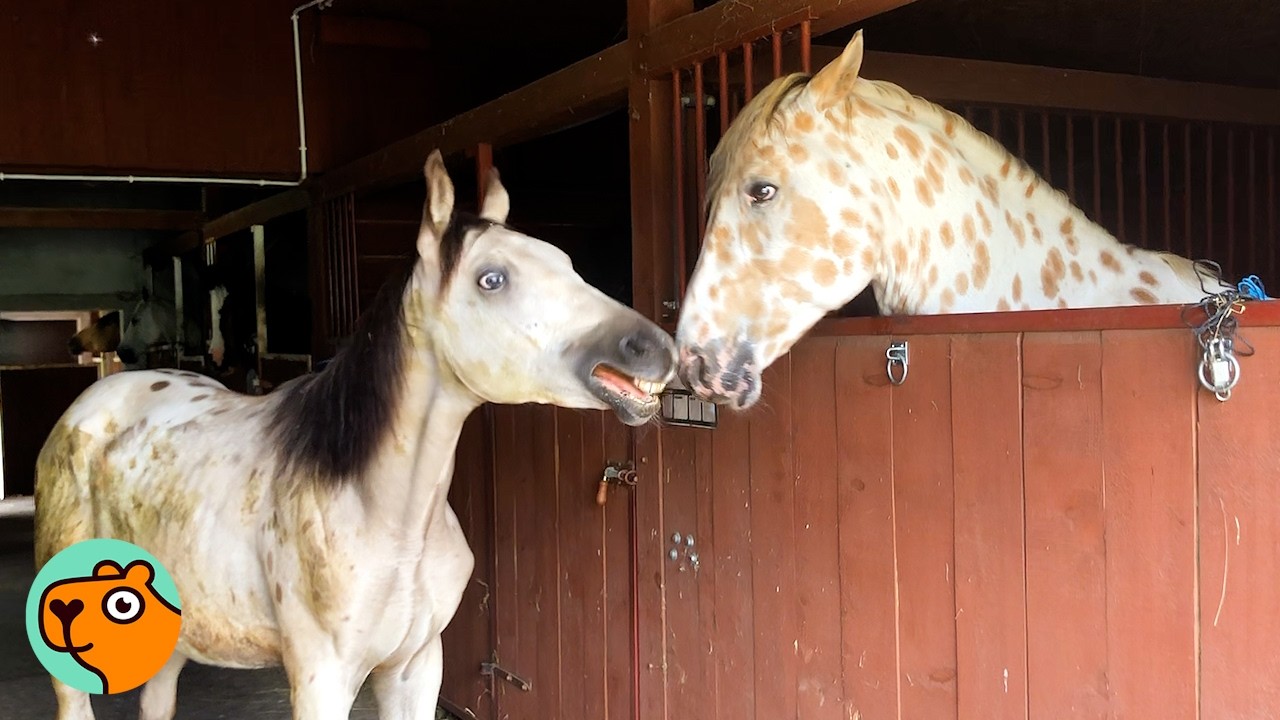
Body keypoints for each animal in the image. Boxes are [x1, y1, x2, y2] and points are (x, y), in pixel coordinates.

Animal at [34, 149, 677, 720]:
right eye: (492, 279)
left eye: (566, 262)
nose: (656, 349)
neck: (388, 518)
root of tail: (92, 403)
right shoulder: (323, 679)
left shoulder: (416, 667)